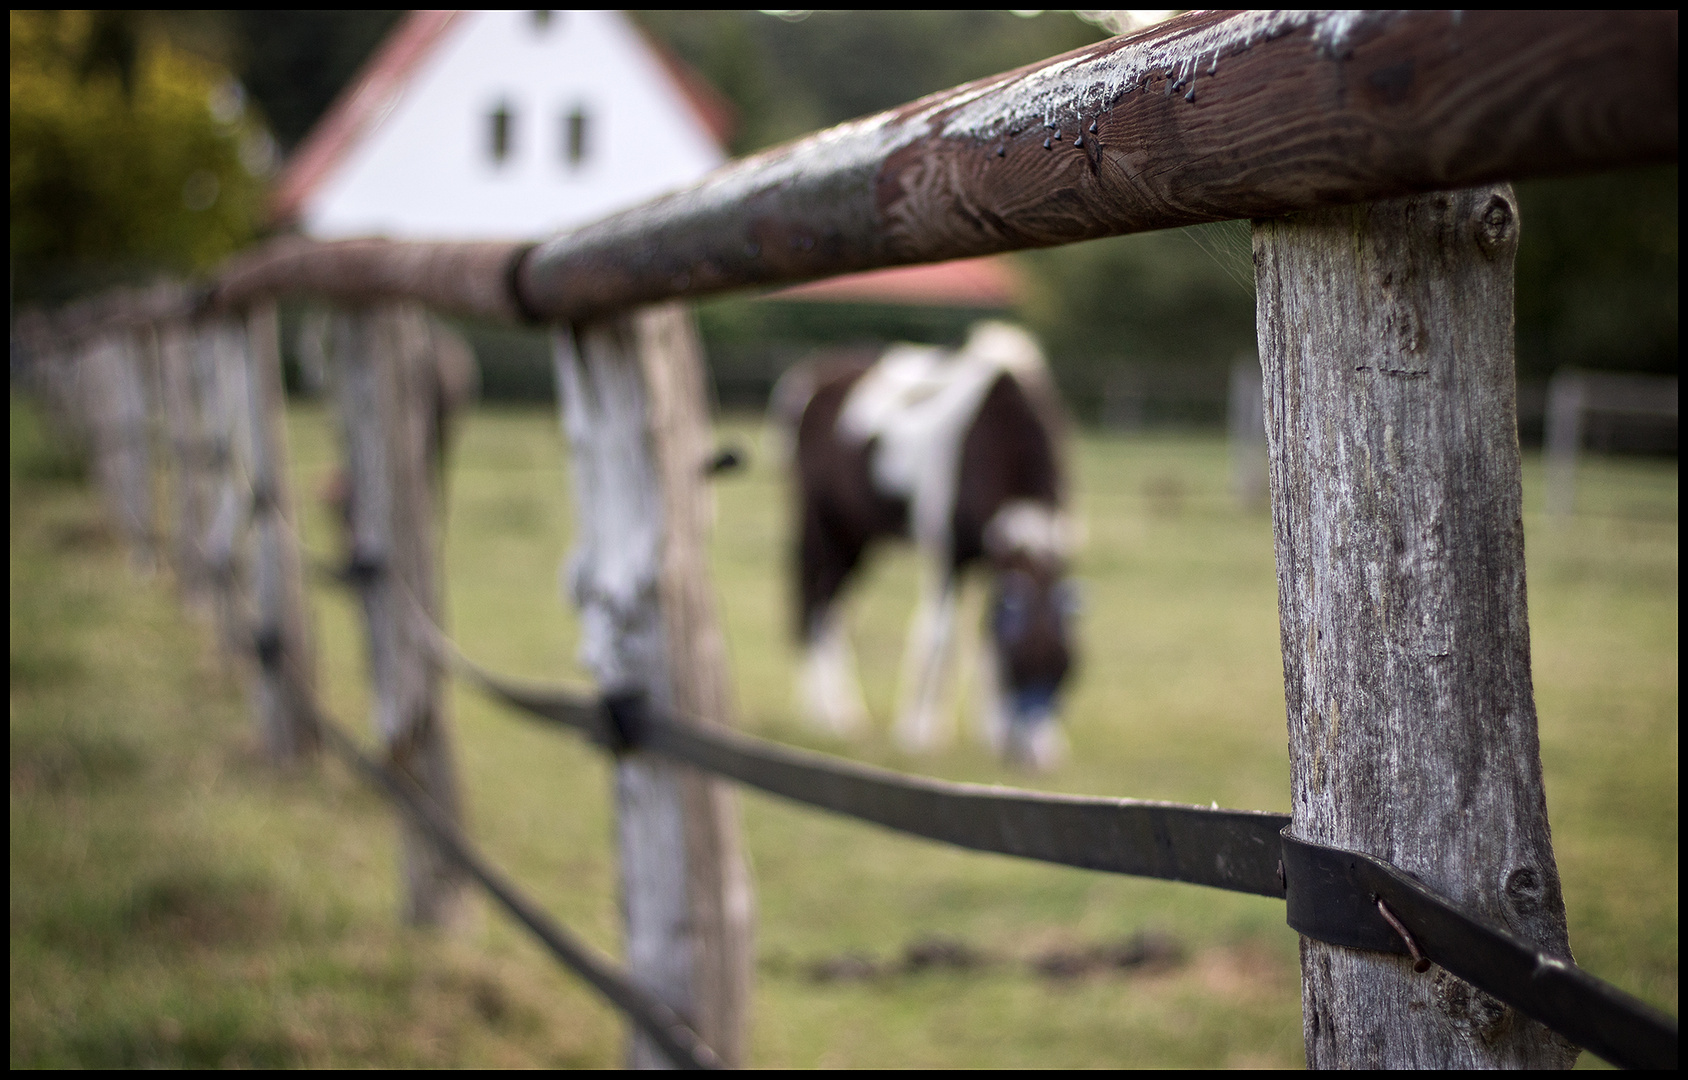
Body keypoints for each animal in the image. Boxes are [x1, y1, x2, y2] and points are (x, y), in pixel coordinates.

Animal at [773, 320, 1073, 769]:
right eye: (1017, 667)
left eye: (1063, 673)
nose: (1036, 758)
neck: (996, 429)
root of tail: (813, 372)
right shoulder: (948, 551)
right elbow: (940, 637)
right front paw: (917, 734)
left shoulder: (992, 559)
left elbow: (984, 632)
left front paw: (990, 734)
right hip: (825, 528)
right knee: (817, 604)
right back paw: (832, 715)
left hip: (858, 537)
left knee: (835, 608)